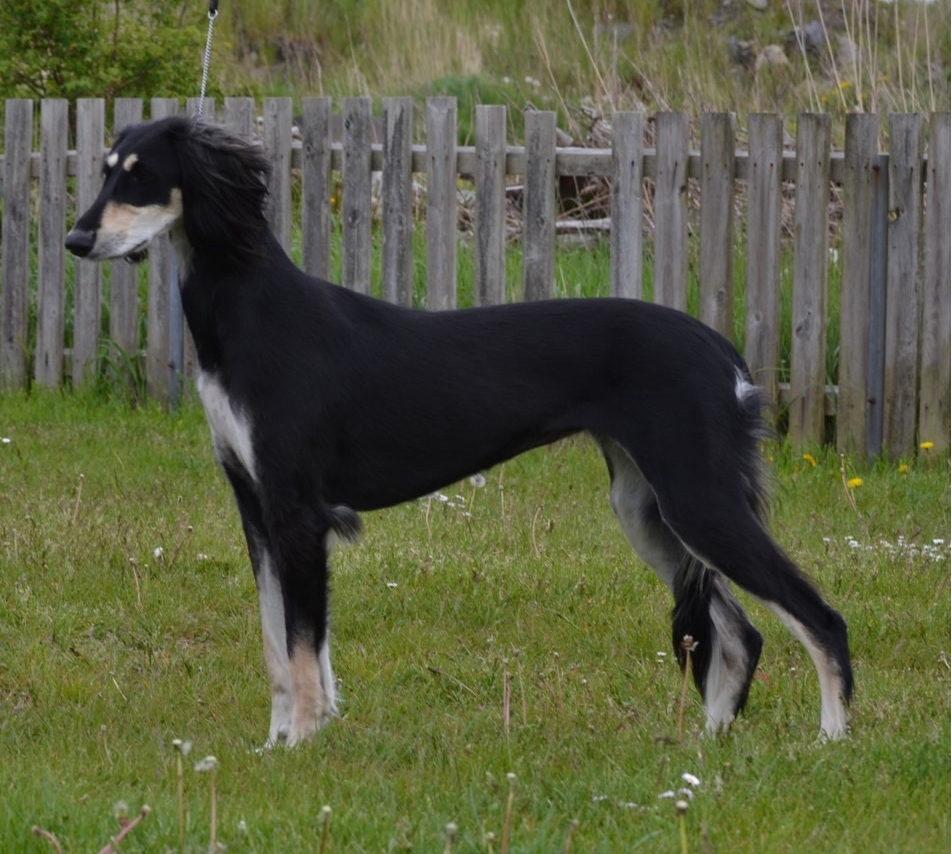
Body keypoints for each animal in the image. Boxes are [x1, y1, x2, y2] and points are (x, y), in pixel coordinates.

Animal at [67, 117, 856, 744]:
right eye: (106, 171)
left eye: (142, 177)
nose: (76, 239)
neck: (251, 309)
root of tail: (722, 349)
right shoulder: (256, 509)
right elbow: (276, 645)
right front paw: (276, 745)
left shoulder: (298, 514)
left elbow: (300, 647)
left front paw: (303, 746)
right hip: (649, 509)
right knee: (742, 631)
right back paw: (709, 744)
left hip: (697, 497)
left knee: (818, 616)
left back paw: (831, 739)